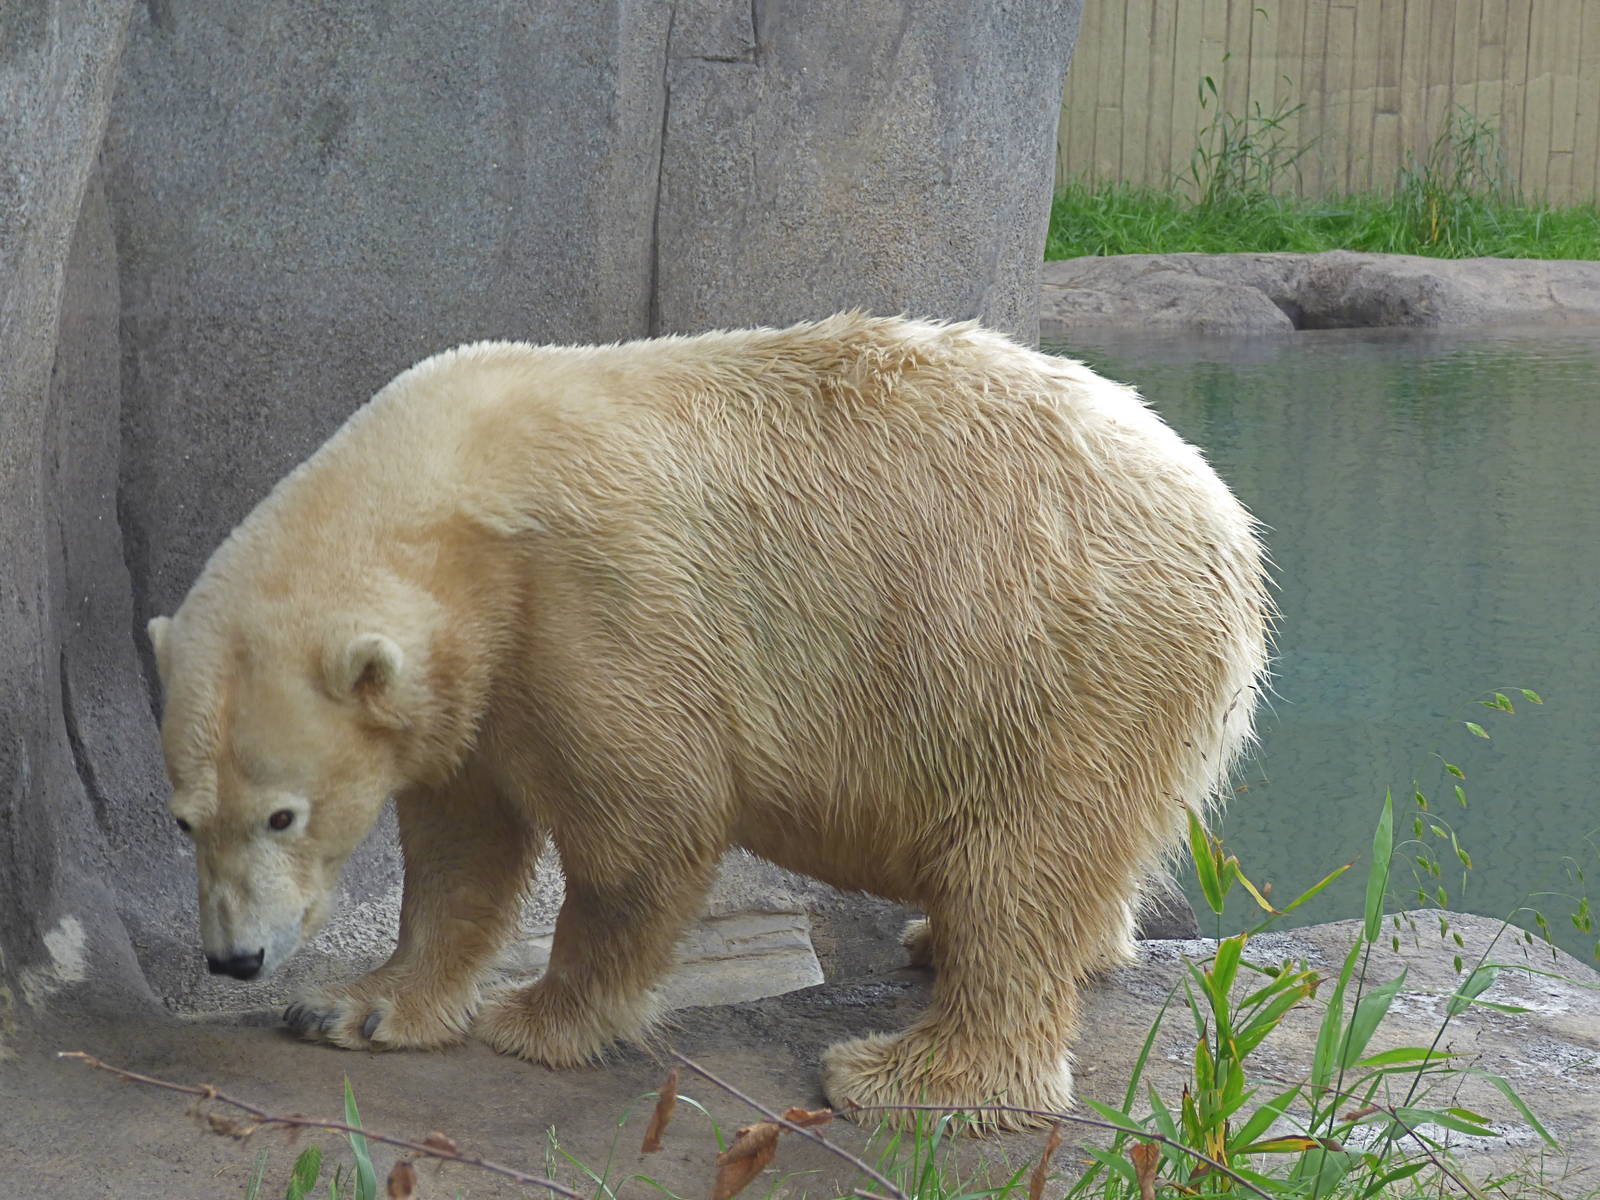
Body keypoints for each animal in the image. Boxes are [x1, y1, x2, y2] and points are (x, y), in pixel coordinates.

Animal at [146, 312, 1268, 1130]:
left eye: (282, 815)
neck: (464, 496)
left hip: (1054, 659)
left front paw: (536, 1018)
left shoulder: (594, 601)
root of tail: (1222, 515)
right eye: (184, 820)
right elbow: (462, 840)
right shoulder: (477, 671)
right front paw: (355, 1006)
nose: (234, 959)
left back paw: (904, 1073)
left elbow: (645, 826)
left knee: (1019, 867)